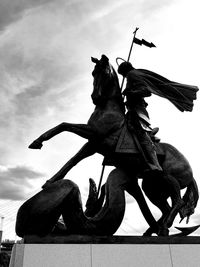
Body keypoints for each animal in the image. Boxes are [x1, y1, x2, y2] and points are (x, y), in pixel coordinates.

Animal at [29, 54, 198, 237]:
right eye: (93, 73)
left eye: (103, 72)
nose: (95, 98)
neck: (108, 109)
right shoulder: (93, 144)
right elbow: (73, 158)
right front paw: (50, 180)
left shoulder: (94, 134)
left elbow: (64, 125)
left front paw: (38, 142)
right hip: (151, 187)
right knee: (165, 208)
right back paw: (157, 230)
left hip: (167, 178)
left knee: (178, 202)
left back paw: (163, 225)